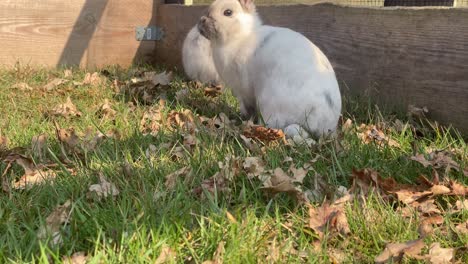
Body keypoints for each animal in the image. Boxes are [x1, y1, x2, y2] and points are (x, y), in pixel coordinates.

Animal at [197, 0, 340, 138]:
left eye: (228, 12)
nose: (201, 21)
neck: (240, 36)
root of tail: (322, 127)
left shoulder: (244, 91)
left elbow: (247, 107)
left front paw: (244, 118)